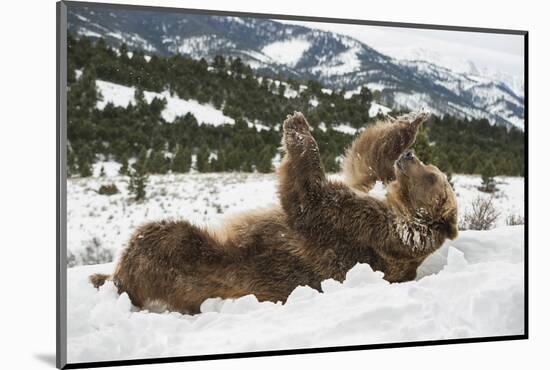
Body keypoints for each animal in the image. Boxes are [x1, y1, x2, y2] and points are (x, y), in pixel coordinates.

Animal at [90, 111, 460, 314]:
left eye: (432, 177)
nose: (410, 157)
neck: (397, 212)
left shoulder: (358, 229)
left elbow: (308, 199)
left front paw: (298, 126)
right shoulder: (369, 195)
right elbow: (363, 162)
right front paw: (413, 120)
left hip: (198, 263)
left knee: (158, 239)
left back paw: (112, 276)